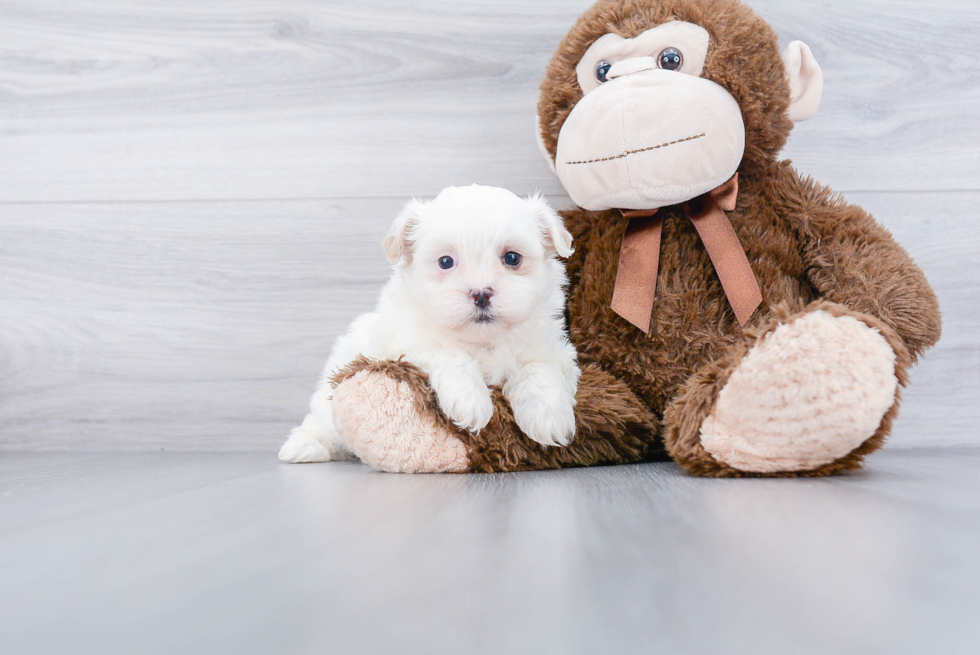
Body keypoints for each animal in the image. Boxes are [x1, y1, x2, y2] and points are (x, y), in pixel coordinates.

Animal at [278, 182, 580, 464]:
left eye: (512, 258)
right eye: (445, 262)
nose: (481, 293)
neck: (482, 340)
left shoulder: (553, 349)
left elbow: (539, 370)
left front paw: (548, 417)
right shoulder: (406, 343)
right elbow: (450, 354)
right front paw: (471, 402)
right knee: (321, 422)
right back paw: (304, 447)